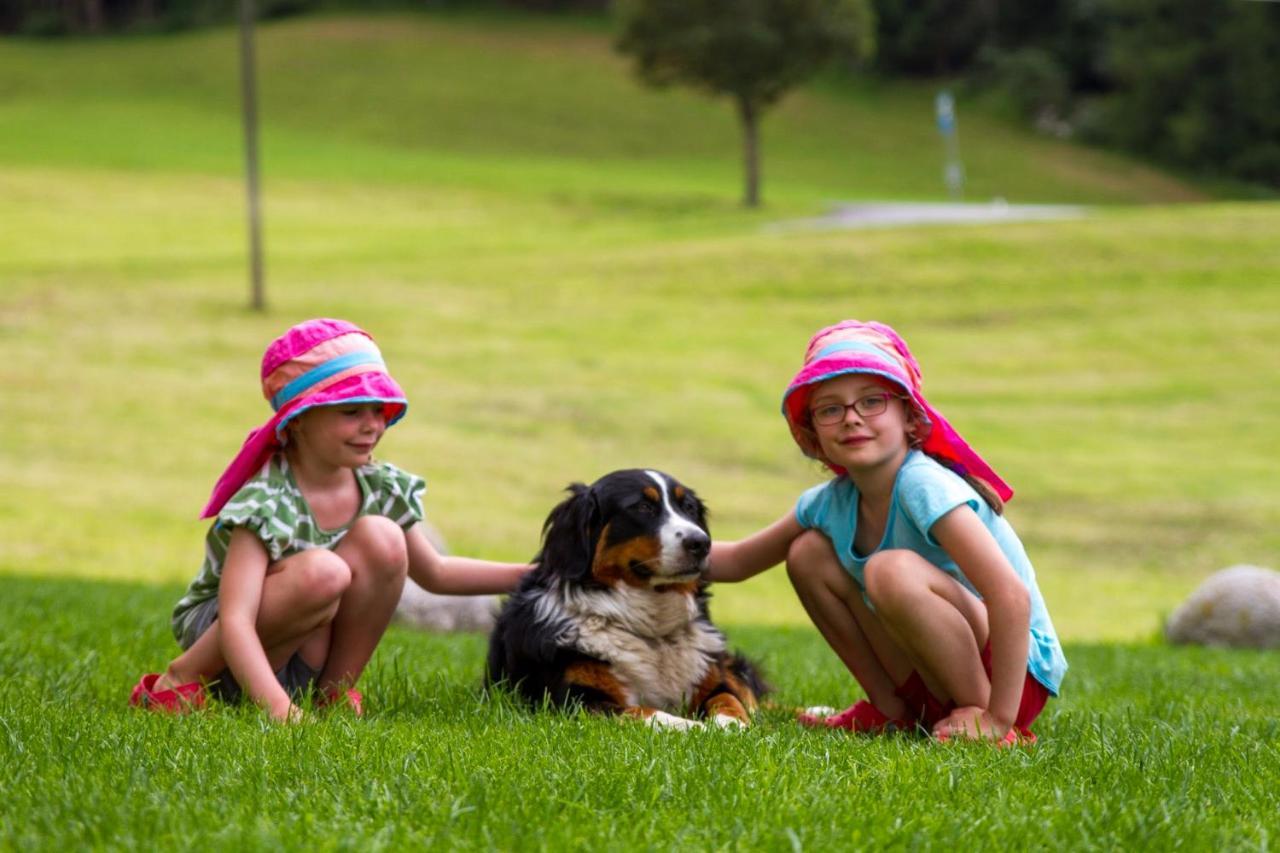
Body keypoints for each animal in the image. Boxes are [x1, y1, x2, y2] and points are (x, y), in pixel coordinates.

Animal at [483, 468, 762, 727]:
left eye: (689, 508)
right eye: (643, 507)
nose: (701, 543)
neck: (653, 634)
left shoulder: (710, 678)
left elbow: (728, 699)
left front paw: (732, 726)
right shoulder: (577, 701)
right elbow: (649, 712)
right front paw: (696, 728)